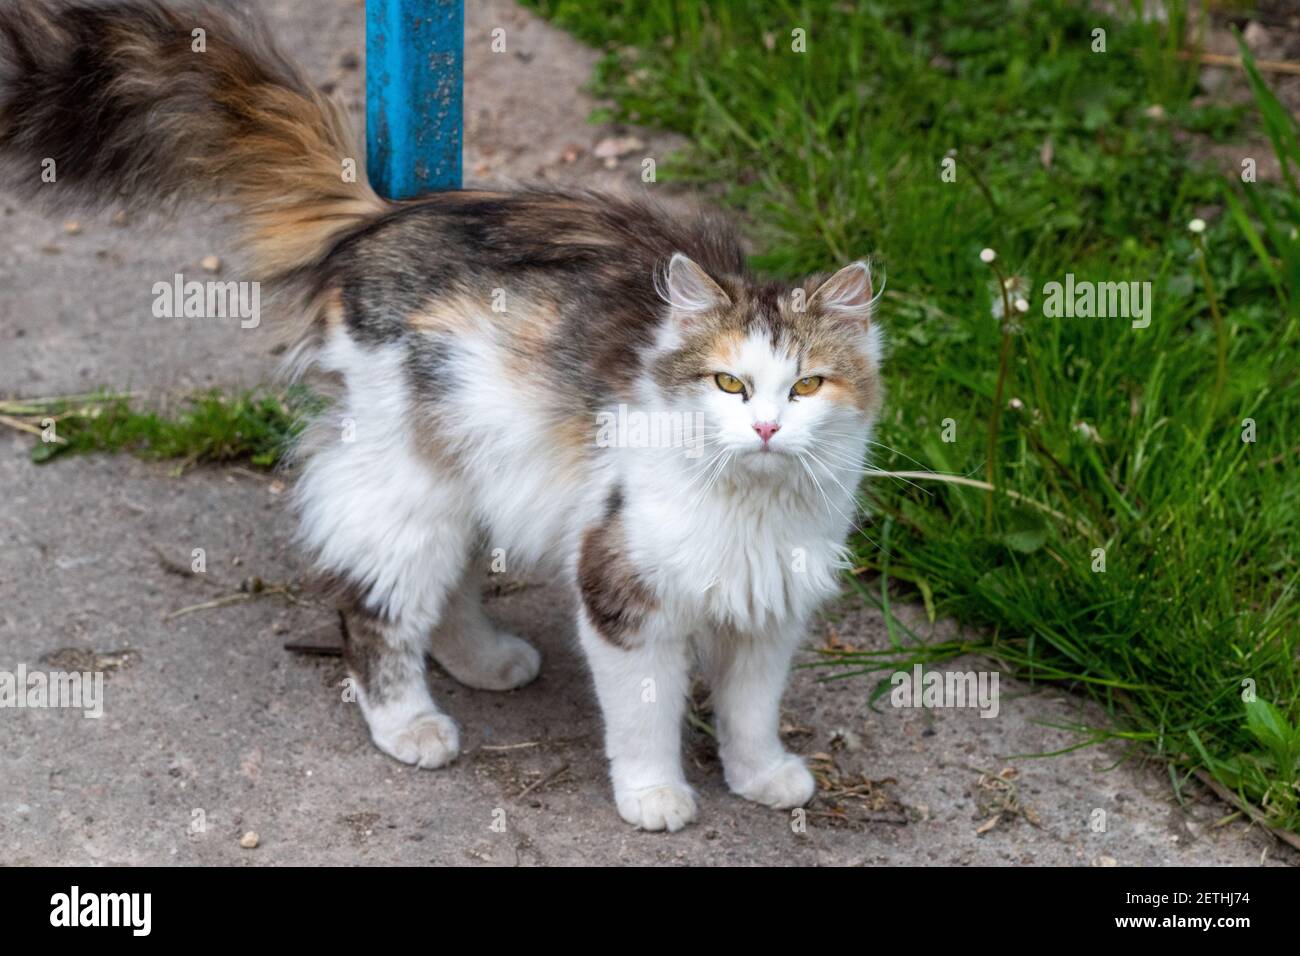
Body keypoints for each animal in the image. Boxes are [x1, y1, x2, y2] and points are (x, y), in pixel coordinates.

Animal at [2, 0, 883, 832]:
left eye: (807, 387)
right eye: (729, 384)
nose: (765, 430)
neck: (751, 508)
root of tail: (378, 217)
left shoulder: (772, 610)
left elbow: (750, 710)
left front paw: (762, 777)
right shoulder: (623, 595)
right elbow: (644, 717)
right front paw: (654, 796)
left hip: (472, 474)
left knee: (449, 587)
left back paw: (485, 662)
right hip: (407, 488)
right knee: (377, 613)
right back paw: (410, 726)